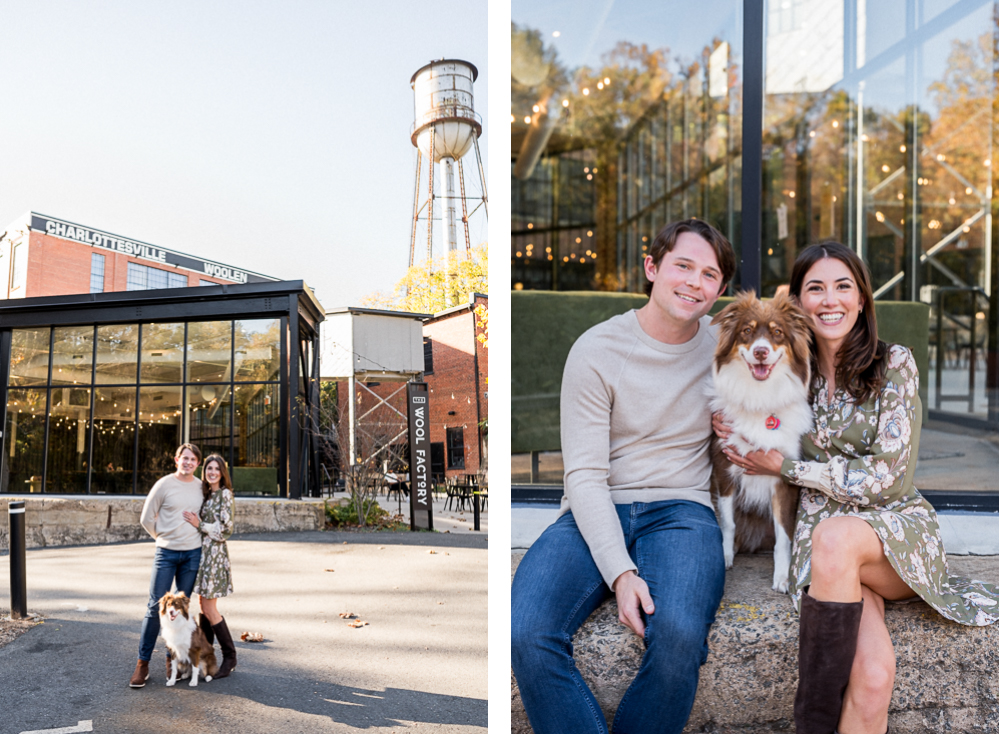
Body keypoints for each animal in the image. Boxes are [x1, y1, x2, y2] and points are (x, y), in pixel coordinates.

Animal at [708, 290, 816, 596]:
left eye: (777, 332)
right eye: (747, 331)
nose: (760, 352)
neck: (760, 398)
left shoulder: (784, 478)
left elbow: (783, 536)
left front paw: (781, 577)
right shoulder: (724, 469)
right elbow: (728, 522)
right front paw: (724, 556)